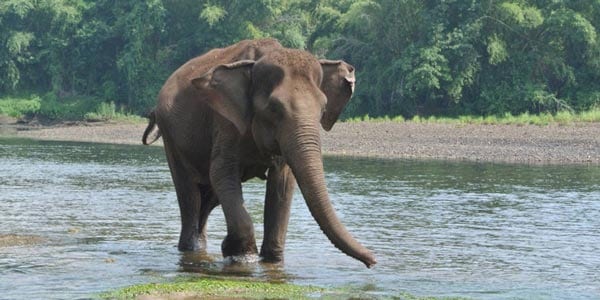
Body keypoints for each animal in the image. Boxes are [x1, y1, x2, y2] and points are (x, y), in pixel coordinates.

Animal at [142, 38, 376, 268]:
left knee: (209, 196)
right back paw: (192, 249)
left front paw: (270, 260)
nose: (372, 261)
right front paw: (240, 255)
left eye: (323, 108)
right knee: (190, 193)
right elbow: (221, 172)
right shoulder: (225, 121)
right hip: (172, 138)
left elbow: (282, 183)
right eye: (274, 108)